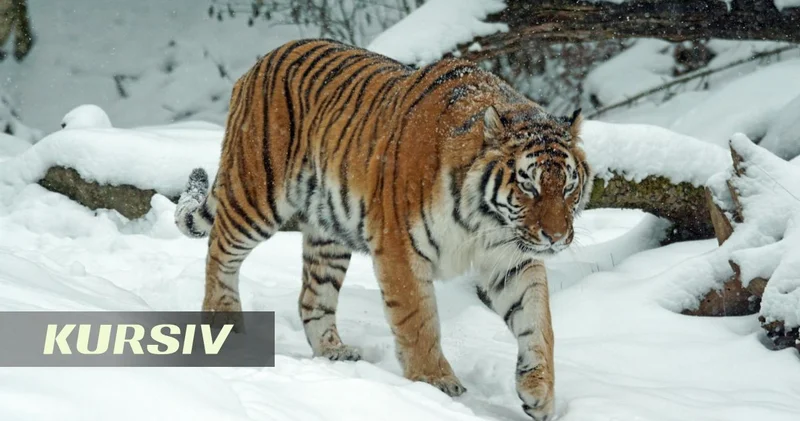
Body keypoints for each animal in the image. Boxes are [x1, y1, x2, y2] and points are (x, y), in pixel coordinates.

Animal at [174, 38, 592, 421]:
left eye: (568, 187)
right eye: (528, 186)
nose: (556, 238)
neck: (485, 221)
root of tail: (263, 60)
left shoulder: (511, 259)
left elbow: (538, 322)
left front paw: (539, 393)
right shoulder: (399, 248)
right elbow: (419, 320)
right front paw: (435, 383)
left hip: (328, 233)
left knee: (312, 297)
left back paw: (334, 352)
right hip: (257, 193)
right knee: (220, 251)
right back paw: (223, 327)